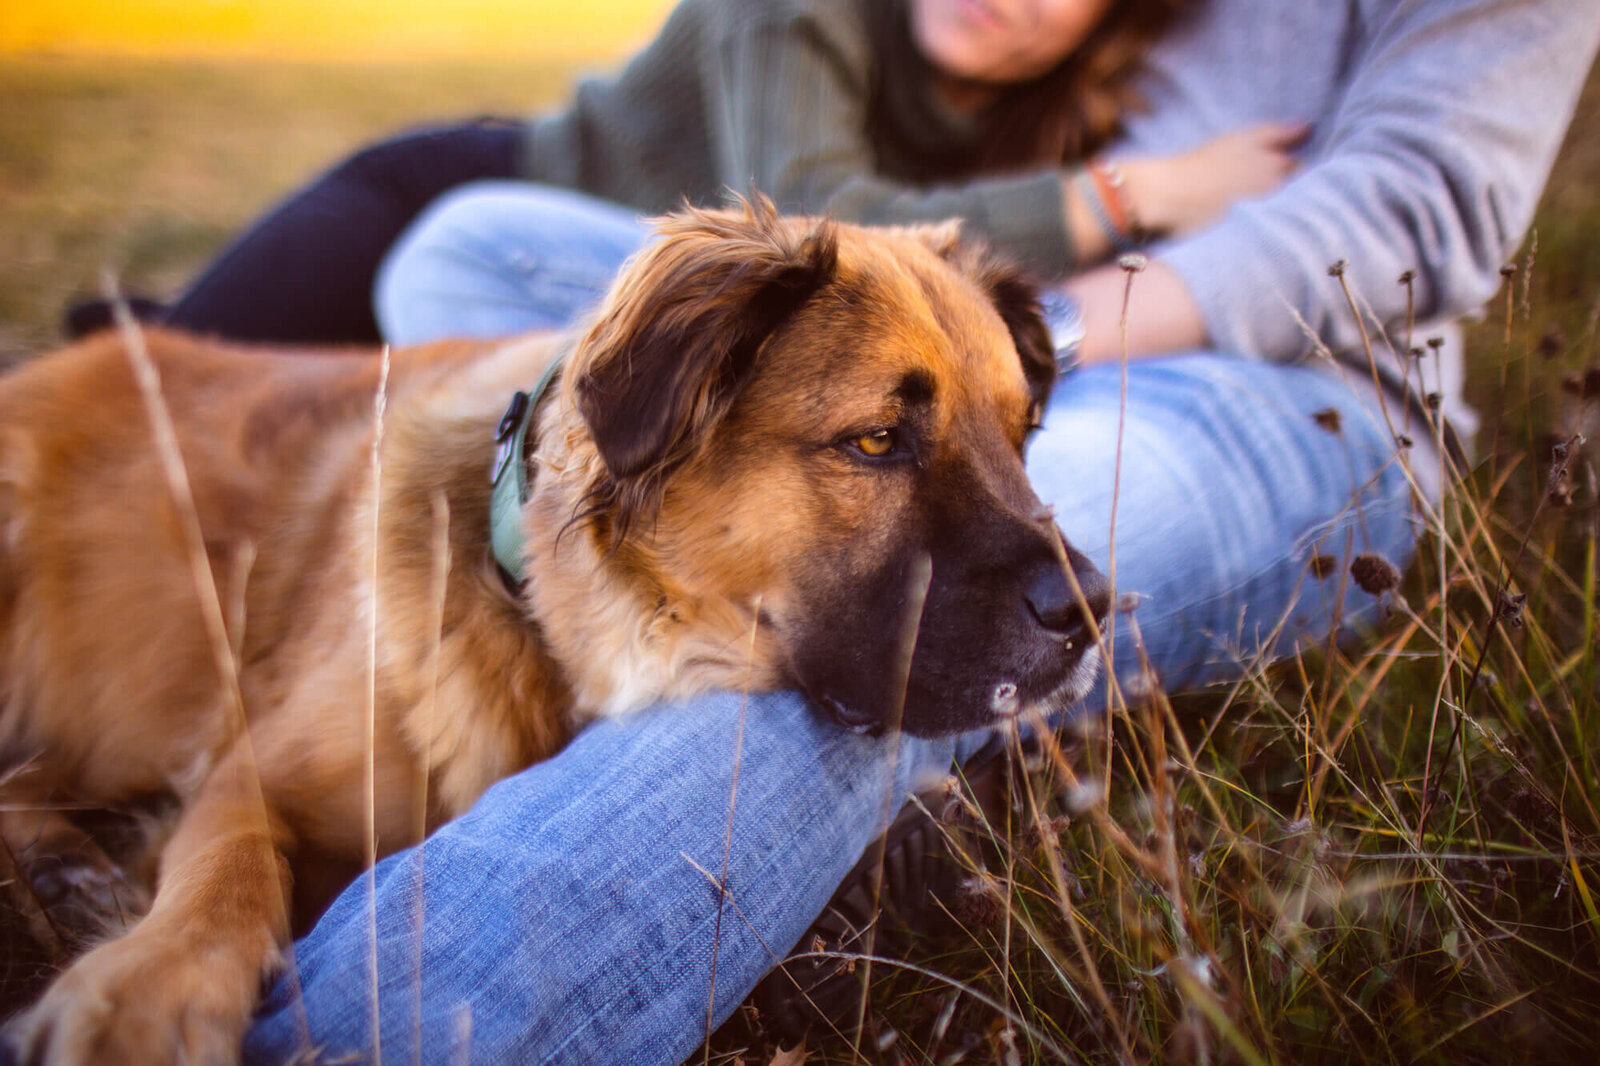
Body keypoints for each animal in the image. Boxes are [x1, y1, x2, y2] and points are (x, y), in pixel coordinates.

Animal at [0, 196, 1100, 1056]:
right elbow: (224, 868)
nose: (1093, 612)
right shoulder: (255, 771)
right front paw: (144, 992)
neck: (531, 605)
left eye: (1022, 435)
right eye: (875, 441)